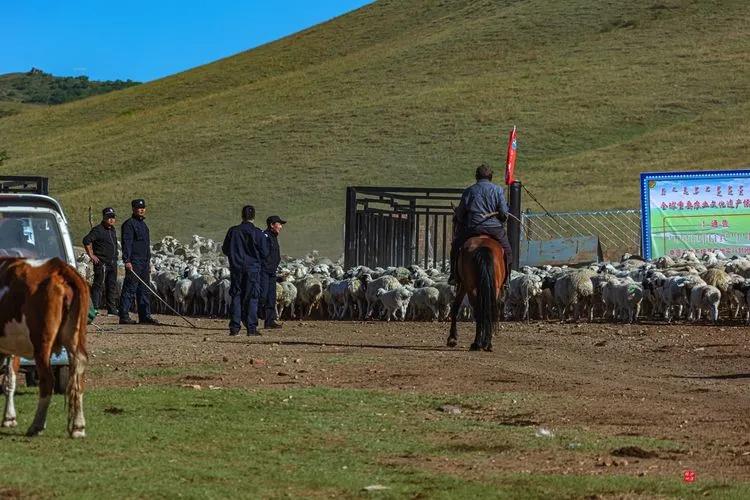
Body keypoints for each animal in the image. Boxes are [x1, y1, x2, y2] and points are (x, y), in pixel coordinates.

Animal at [0, 258, 90, 438]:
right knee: (79, 375)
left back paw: (37, 425)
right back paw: (78, 427)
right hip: (74, 339)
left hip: (42, 344)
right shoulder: (12, 347)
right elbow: (10, 379)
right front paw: (9, 417)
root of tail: (59, 268)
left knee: (48, 380)